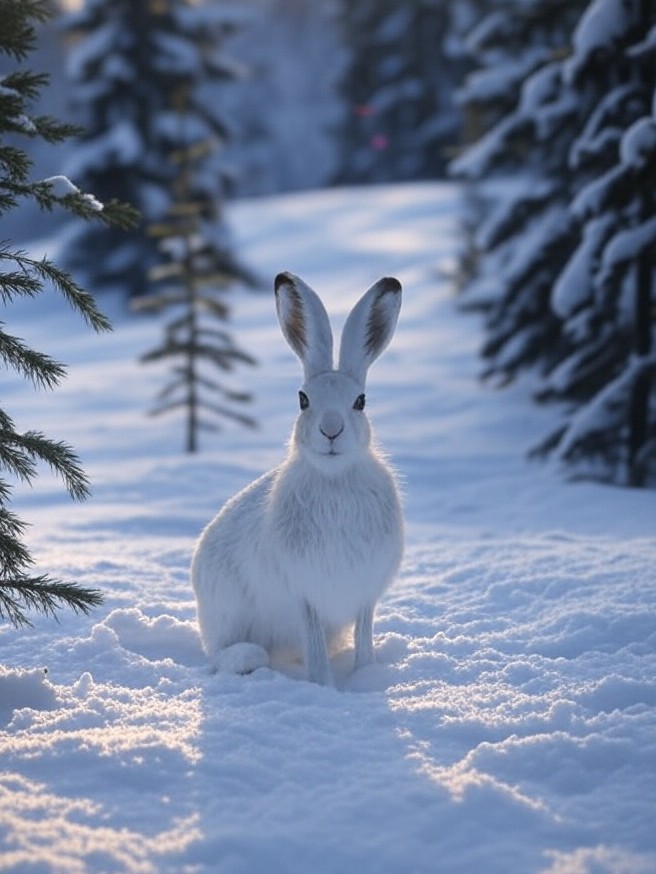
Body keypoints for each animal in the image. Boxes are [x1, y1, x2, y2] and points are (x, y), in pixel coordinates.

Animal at [191, 271, 404, 685]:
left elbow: (364, 634)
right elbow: (314, 641)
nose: (331, 431)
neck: (335, 480)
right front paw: (322, 684)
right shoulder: (305, 594)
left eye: (360, 402)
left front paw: (367, 678)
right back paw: (247, 659)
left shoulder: (365, 592)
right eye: (303, 400)